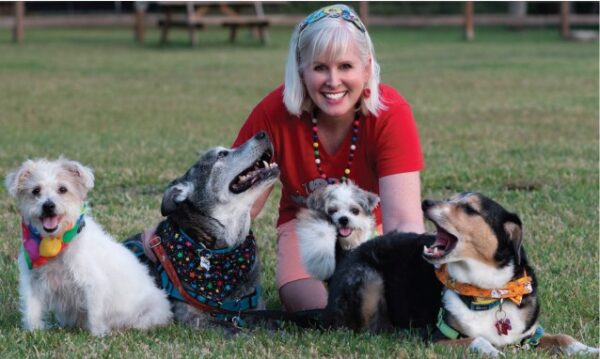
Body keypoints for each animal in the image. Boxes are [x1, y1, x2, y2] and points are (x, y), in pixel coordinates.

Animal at [5, 159, 171, 336]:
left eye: (63, 189)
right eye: (36, 190)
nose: (48, 205)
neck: (55, 243)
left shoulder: (94, 284)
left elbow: (95, 314)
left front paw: (98, 335)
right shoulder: (32, 282)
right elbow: (31, 309)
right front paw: (33, 331)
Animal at [326, 193, 596, 356]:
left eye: (469, 208)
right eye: (450, 198)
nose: (426, 201)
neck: (489, 292)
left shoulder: (529, 336)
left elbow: (563, 338)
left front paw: (589, 350)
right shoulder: (440, 339)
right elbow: (478, 340)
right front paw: (494, 352)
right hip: (368, 279)